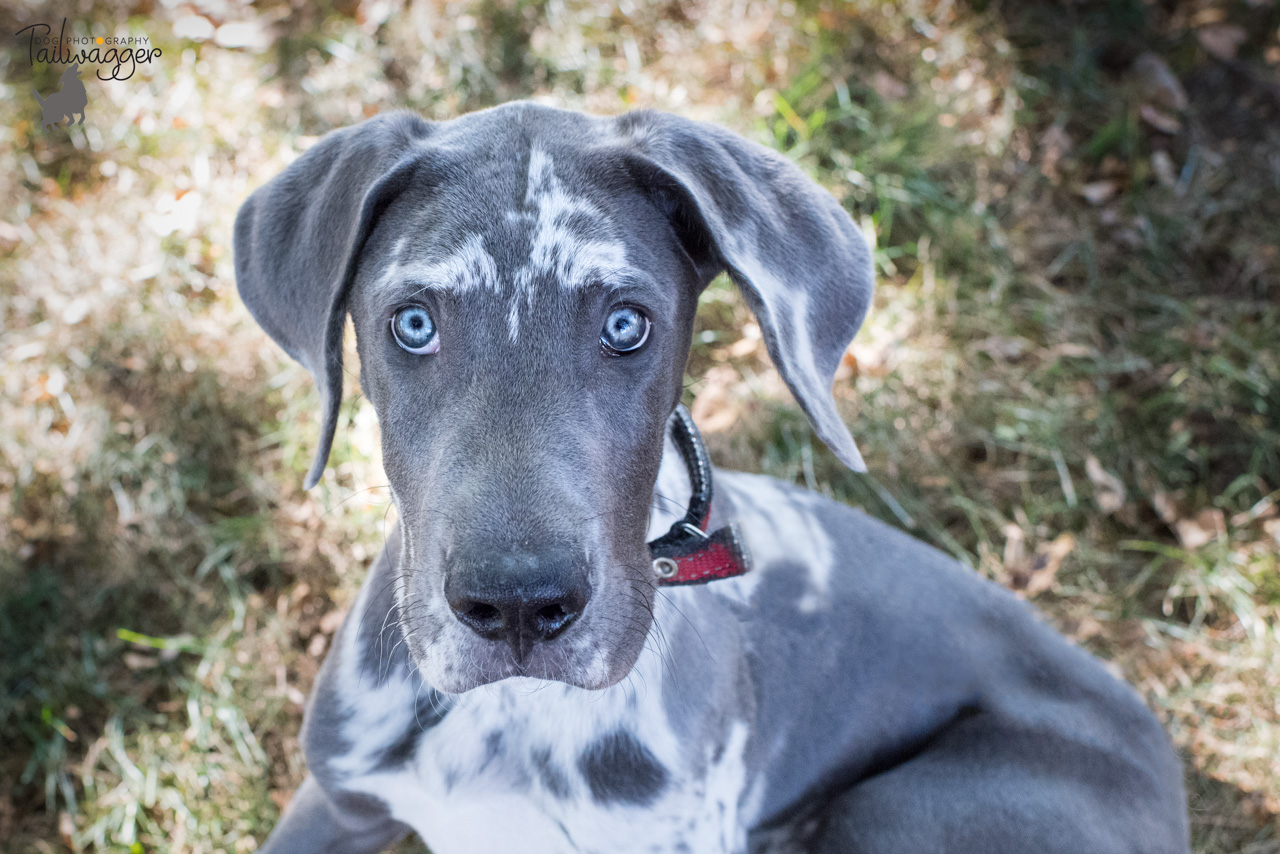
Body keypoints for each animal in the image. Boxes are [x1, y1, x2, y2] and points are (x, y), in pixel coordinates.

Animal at [232, 101, 1187, 854]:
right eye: (414, 324)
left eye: (626, 324)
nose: (518, 605)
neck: (514, 722)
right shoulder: (335, 804)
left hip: (907, 813)